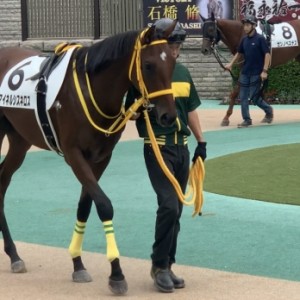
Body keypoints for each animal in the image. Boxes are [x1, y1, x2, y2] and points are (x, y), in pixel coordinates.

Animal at [0, 20, 178, 296]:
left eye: (172, 62)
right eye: (148, 65)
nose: (168, 116)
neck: (90, 88)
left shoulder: (101, 157)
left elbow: (85, 204)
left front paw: (77, 264)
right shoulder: (74, 154)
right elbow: (104, 204)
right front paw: (116, 273)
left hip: (19, 140)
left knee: (2, 181)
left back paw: (14, 255)